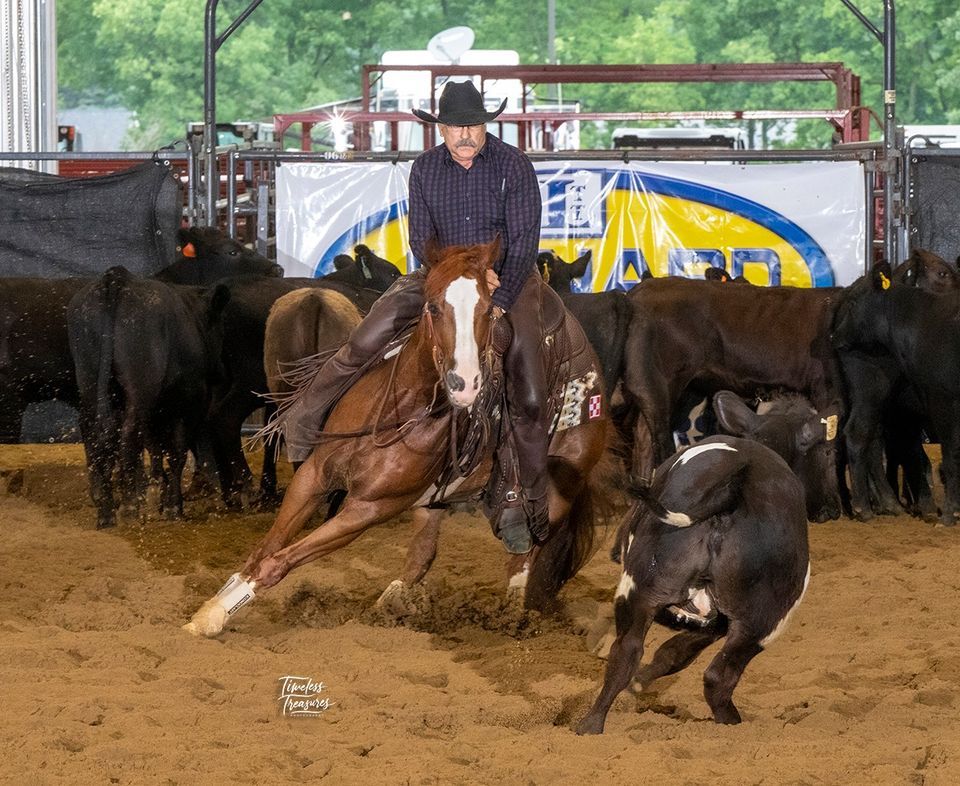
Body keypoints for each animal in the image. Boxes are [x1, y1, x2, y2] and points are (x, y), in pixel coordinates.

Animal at [185, 240, 612, 637]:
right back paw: (387, 607)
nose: (465, 383)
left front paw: (212, 617)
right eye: (433, 307)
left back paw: (509, 615)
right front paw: (214, 608)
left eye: (488, 311)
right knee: (422, 555)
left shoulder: (367, 509)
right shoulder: (314, 476)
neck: (397, 411)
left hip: (555, 493)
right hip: (432, 499)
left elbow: (279, 561)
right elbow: (267, 547)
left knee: (522, 562)